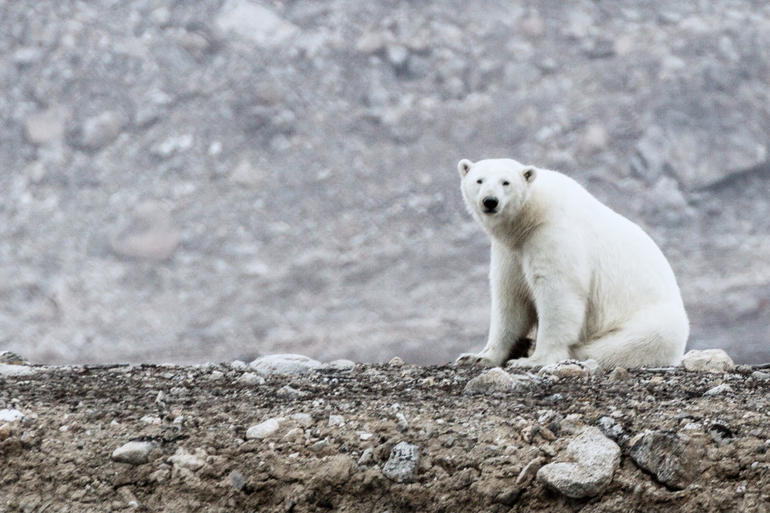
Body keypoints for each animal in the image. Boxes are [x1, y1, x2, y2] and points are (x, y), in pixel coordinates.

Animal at [452, 157, 688, 368]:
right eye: (479, 180)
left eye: (505, 182)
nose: (490, 201)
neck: (531, 217)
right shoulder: (510, 251)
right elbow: (511, 299)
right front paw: (478, 356)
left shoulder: (553, 234)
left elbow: (559, 292)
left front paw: (533, 360)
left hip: (651, 322)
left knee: (625, 343)